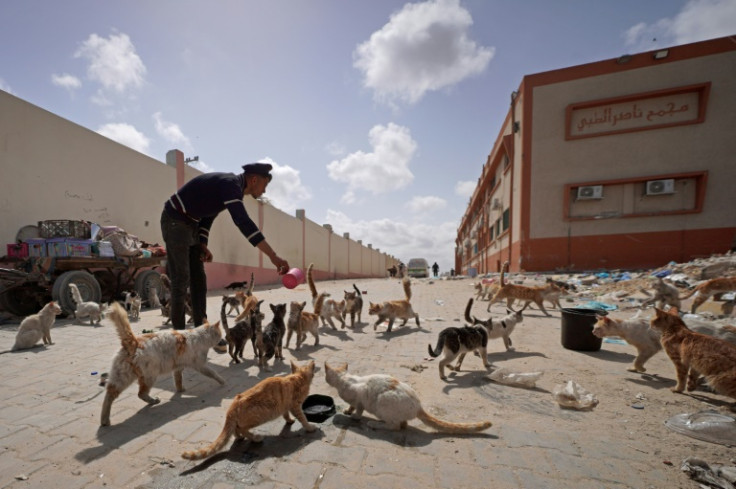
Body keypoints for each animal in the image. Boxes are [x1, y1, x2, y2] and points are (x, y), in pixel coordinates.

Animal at [181, 358, 316, 458]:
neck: (298, 378)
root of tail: (233, 404)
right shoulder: (295, 406)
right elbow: (303, 418)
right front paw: (309, 427)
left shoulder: (286, 405)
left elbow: (286, 414)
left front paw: (289, 420)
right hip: (261, 414)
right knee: (242, 428)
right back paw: (255, 438)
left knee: (236, 429)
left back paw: (239, 437)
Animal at [324, 360, 492, 432]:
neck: (345, 378)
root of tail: (419, 406)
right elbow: (352, 405)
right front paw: (348, 410)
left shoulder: (360, 396)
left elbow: (358, 408)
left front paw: (354, 416)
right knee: (402, 424)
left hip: (382, 401)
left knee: (395, 426)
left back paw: (375, 424)